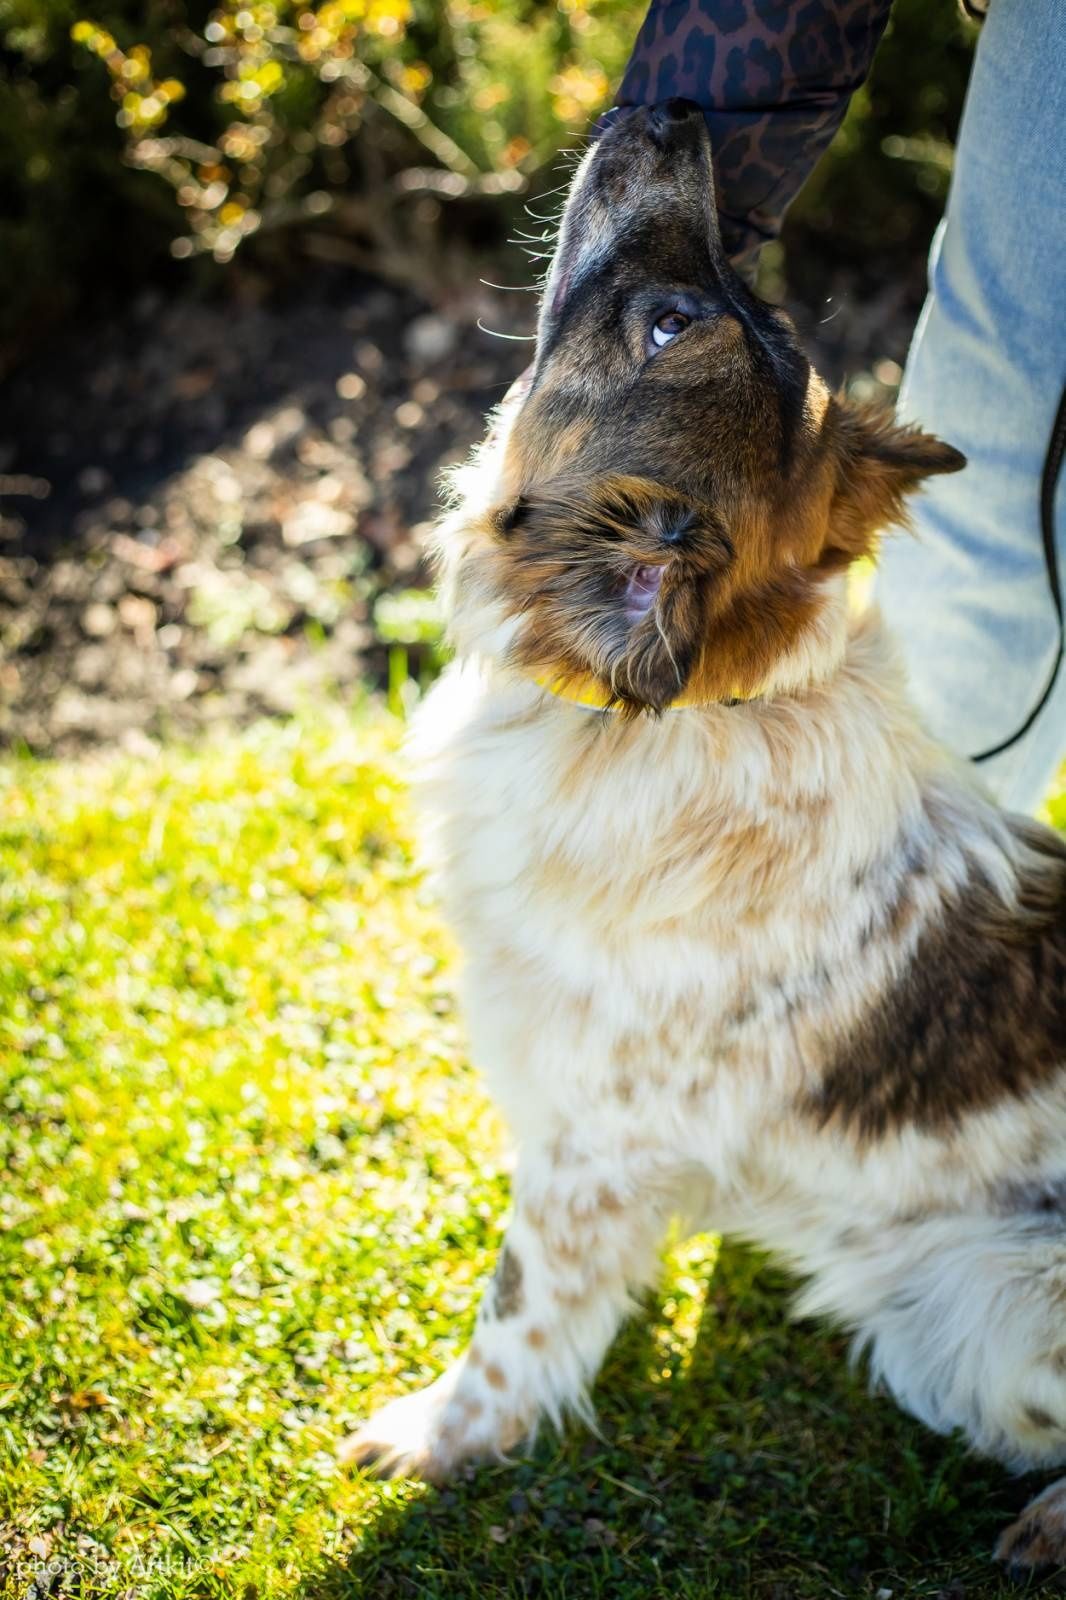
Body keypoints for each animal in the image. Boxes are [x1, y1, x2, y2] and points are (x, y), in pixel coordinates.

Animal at [340, 100, 1062, 1574]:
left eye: (669, 325)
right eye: (749, 317)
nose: (673, 114)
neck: (662, 726)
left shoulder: (585, 1149)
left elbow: (516, 1316)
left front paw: (442, 1439)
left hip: (987, 1304)